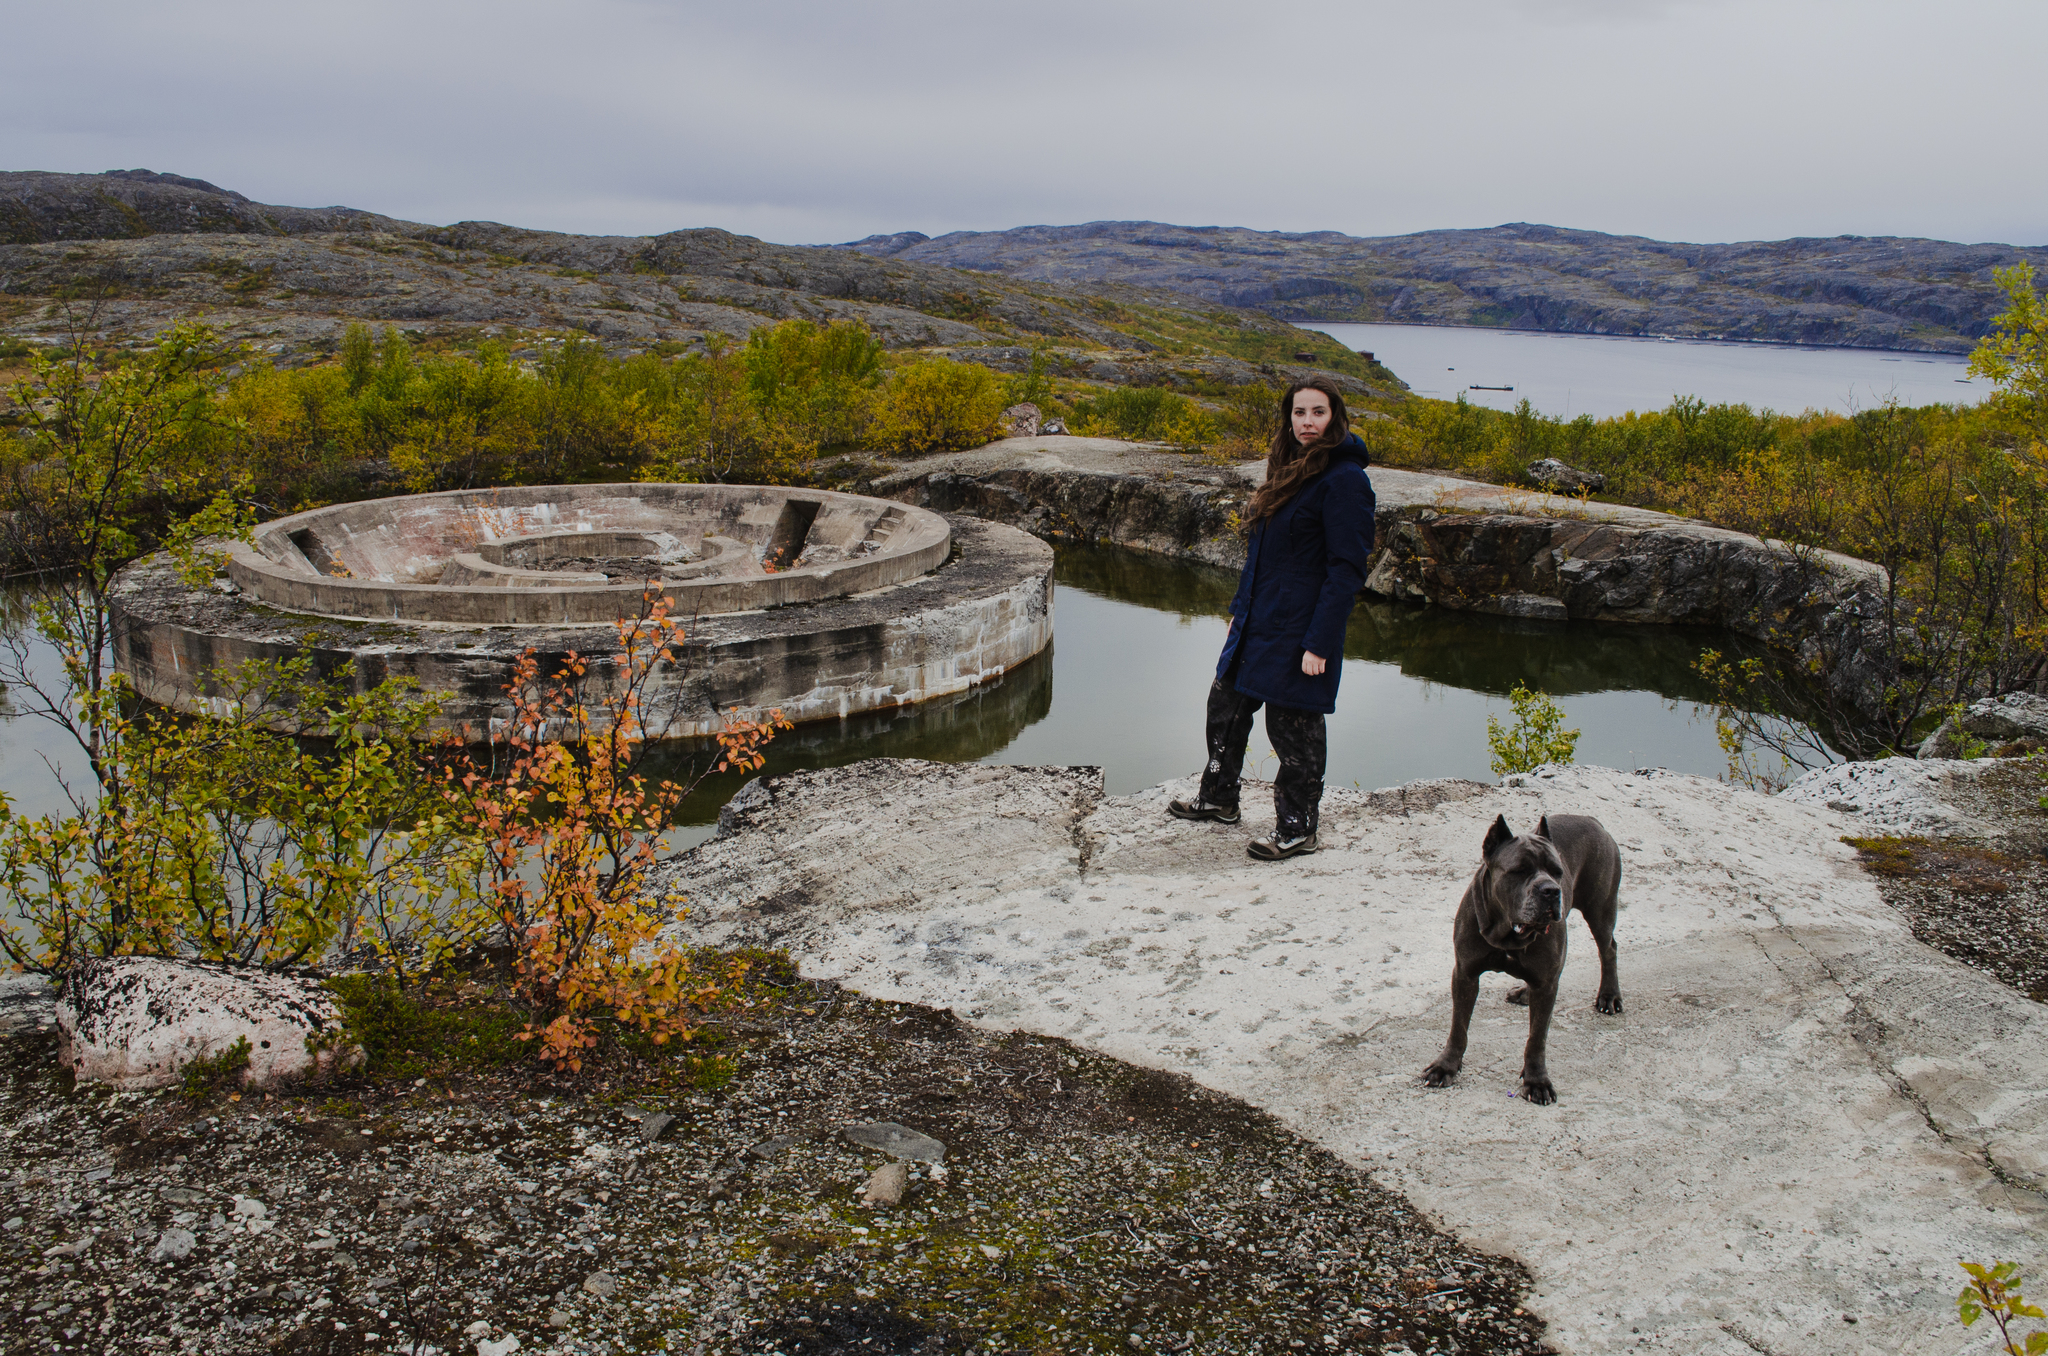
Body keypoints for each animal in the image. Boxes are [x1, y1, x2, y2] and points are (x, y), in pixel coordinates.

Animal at [1417, 811, 1622, 1114]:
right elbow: (1458, 1027)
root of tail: (1593, 820)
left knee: (1608, 949)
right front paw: (1446, 1066)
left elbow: (1536, 1038)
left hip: (1600, 908)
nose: (1551, 890)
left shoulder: (1545, 984)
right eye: (1519, 871)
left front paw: (1536, 1081)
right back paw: (1526, 992)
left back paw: (1609, 996)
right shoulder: (1465, 974)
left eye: (1558, 872)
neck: (1509, 932)